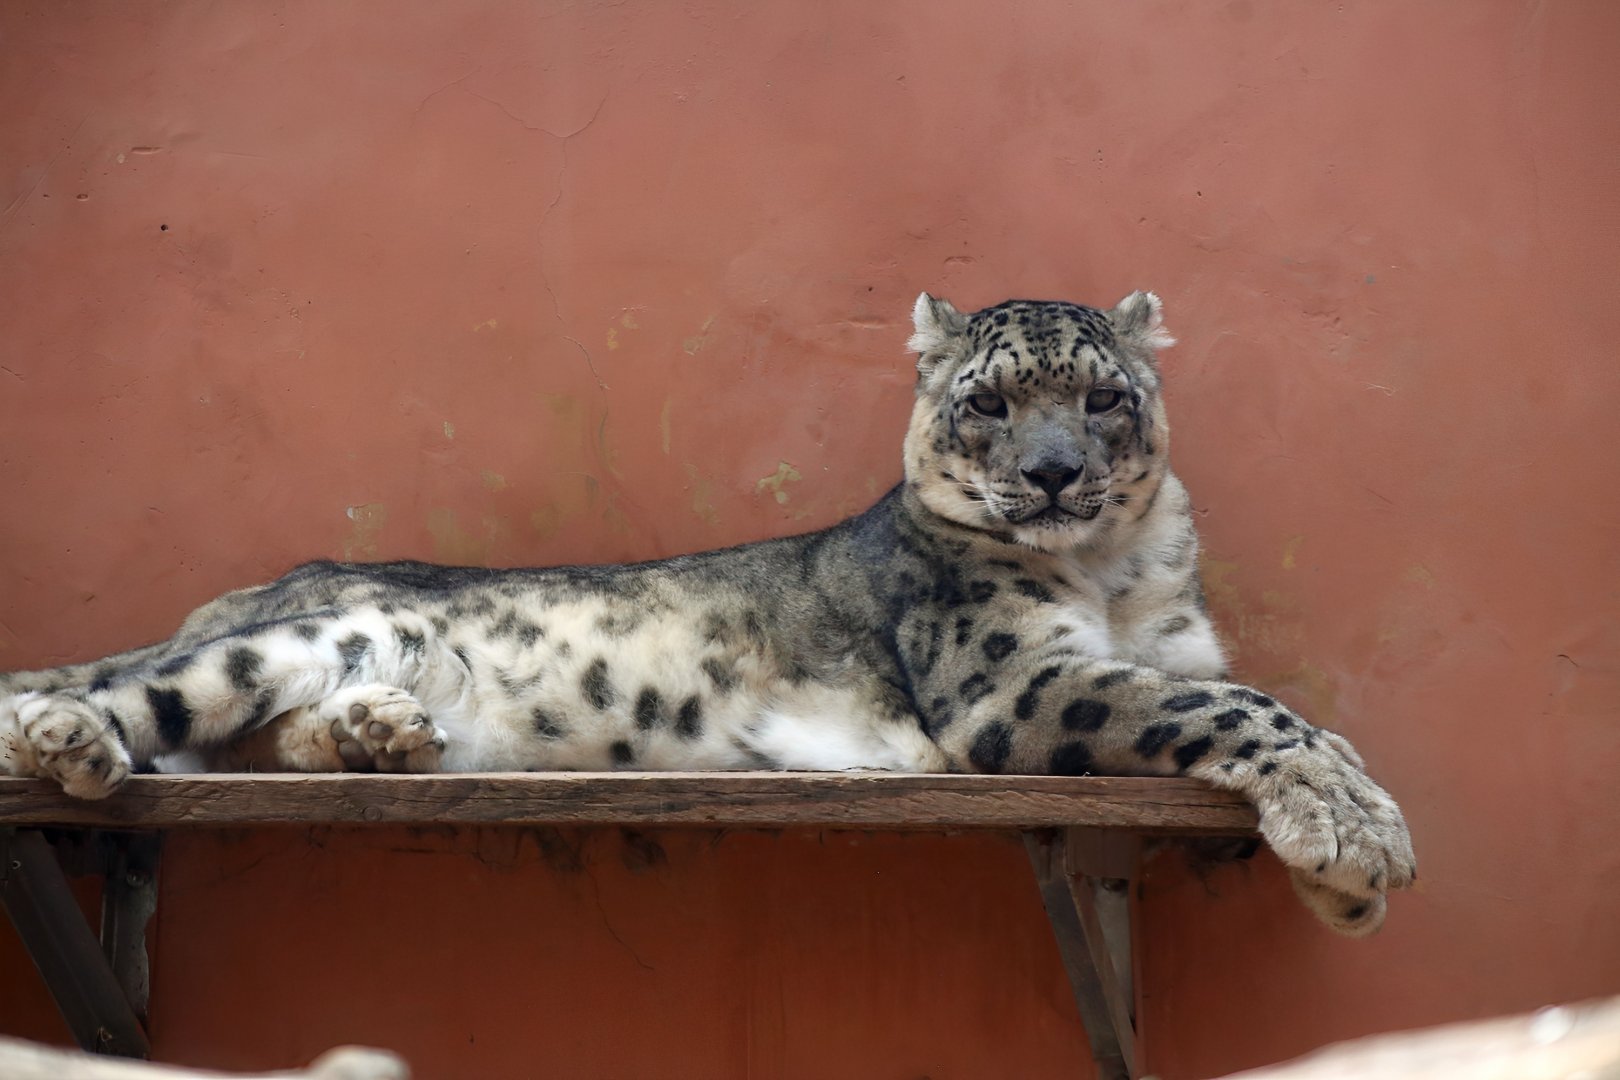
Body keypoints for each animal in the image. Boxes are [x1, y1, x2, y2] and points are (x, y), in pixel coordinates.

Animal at [0, 290, 1415, 935]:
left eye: (1104, 397)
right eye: (990, 402)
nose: (1058, 472)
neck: (1118, 573)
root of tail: (253, 587)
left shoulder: (1161, 640)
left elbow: (1213, 682)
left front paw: (1336, 878)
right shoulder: (1013, 682)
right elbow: (1236, 704)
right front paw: (1359, 833)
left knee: (256, 734)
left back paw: (381, 737)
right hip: (291, 637)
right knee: (151, 697)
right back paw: (69, 740)